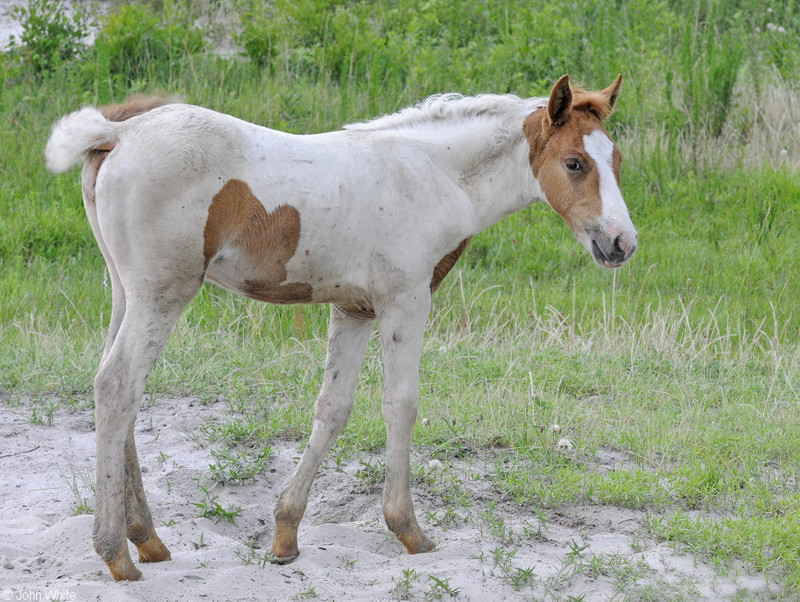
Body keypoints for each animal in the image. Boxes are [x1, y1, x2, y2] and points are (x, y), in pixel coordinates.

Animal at [45, 72, 636, 580]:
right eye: (574, 163)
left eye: (615, 159)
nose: (621, 243)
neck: (434, 175)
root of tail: (119, 133)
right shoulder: (405, 302)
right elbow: (401, 405)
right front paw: (409, 530)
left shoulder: (353, 310)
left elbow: (332, 409)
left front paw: (285, 536)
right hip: (162, 296)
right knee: (118, 386)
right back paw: (116, 555)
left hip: (125, 291)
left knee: (114, 390)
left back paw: (148, 540)